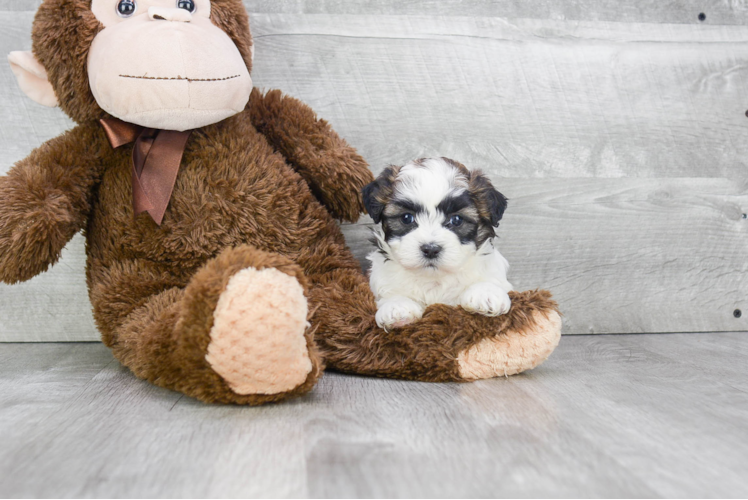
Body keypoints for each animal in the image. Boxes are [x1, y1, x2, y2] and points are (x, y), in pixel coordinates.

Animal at [362, 158, 516, 330]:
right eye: (407, 218)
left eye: (457, 220)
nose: (430, 249)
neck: (434, 279)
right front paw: (396, 306)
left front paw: (485, 292)